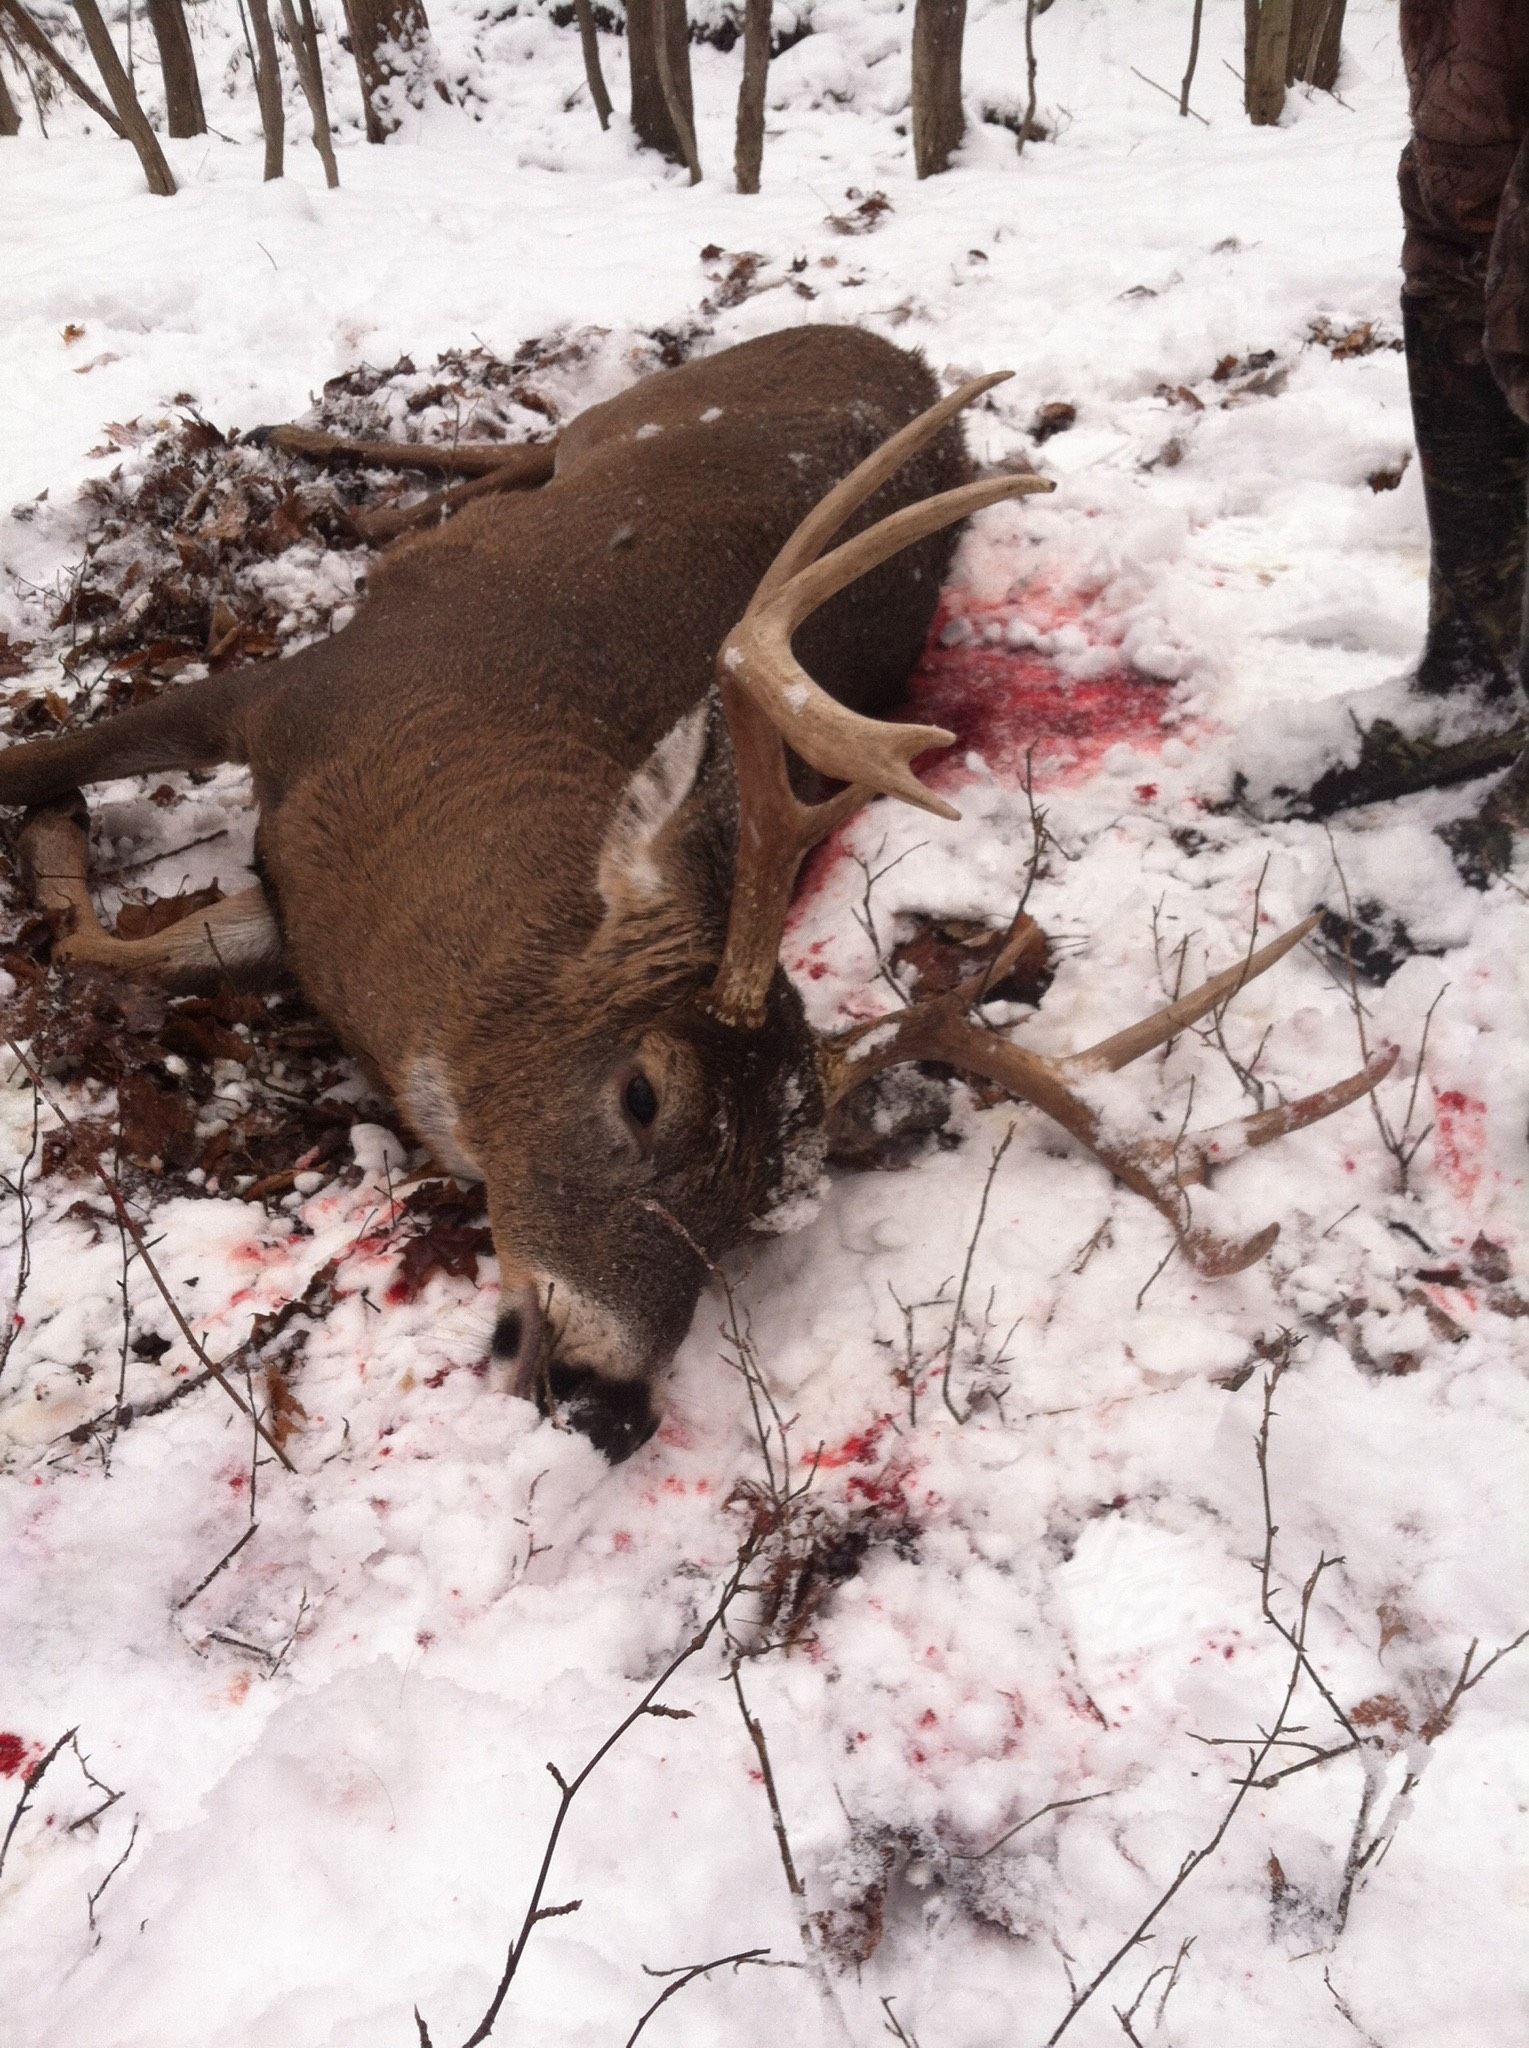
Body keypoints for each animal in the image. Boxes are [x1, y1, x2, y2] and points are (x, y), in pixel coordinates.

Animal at [0, 325, 1396, 1458]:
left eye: (757, 1222)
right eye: (642, 1092)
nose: (603, 1395)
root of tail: (896, 351)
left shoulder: (299, 898)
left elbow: (118, 949)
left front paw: (60, 865)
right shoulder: (287, 692)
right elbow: (43, 771)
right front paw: (56, 813)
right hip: (646, 404)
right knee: (531, 444)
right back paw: (334, 476)